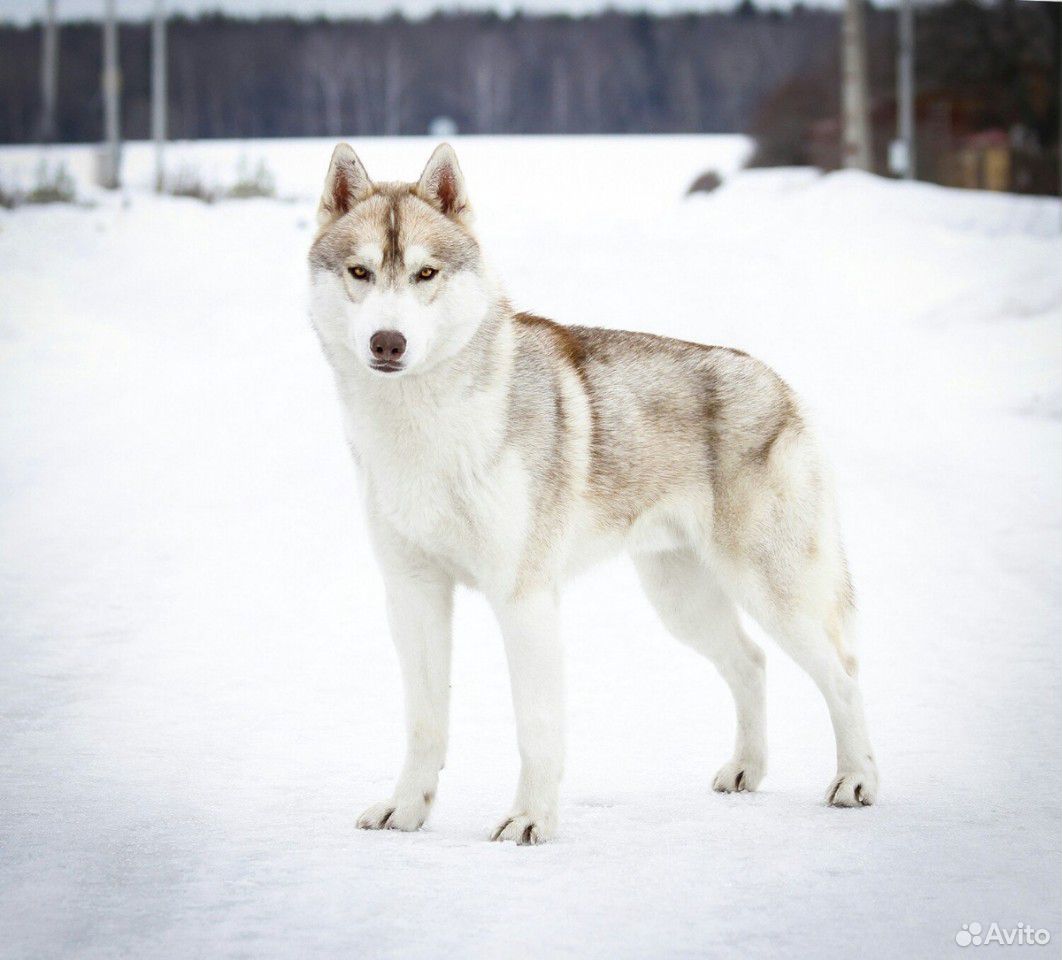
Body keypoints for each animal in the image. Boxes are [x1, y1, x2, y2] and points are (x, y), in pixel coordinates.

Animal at [307, 142, 879, 849]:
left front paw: (530, 821)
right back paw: (747, 770)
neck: (422, 428)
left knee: (844, 672)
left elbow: (536, 727)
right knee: (751, 662)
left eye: (425, 273)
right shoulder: (413, 594)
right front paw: (407, 811)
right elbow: (424, 723)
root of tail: (776, 380)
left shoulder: (522, 598)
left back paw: (856, 781)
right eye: (359, 271)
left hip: (776, 592)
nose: (388, 342)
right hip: (679, 599)